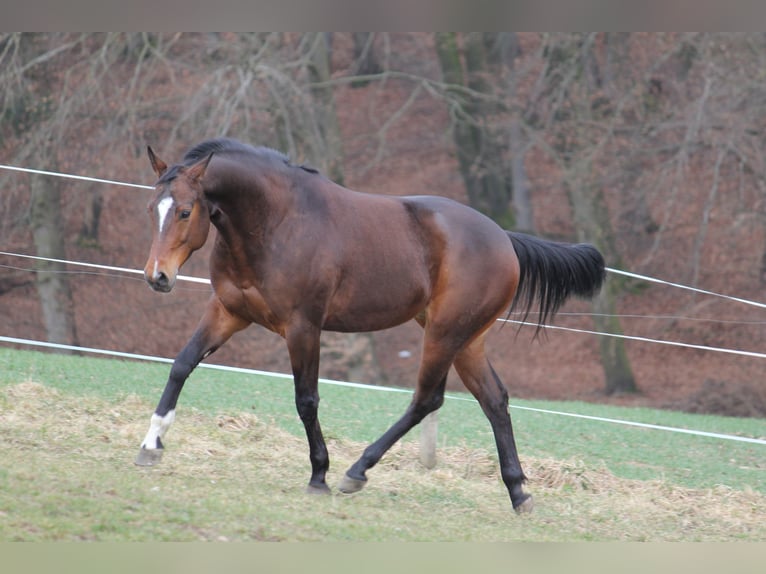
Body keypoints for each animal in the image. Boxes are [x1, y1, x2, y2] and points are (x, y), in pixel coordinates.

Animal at [136, 137, 608, 516]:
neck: (276, 222)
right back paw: (518, 493)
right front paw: (150, 444)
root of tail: (504, 239)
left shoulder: (303, 327)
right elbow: (181, 364)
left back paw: (356, 471)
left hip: (445, 334)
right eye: (151, 209)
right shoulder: (227, 312)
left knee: (427, 399)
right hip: (467, 341)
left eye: (184, 211)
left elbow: (307, 400)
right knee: (494, 400)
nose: (157, 277)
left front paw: (319, 476)